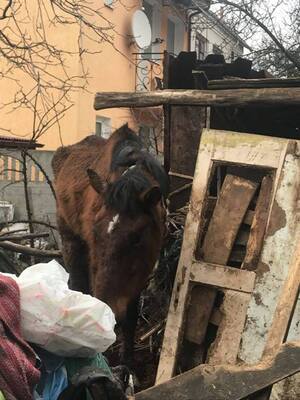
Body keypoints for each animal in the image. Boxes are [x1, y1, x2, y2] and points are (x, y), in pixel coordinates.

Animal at [52, 125, 168, 368]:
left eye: (137, 238)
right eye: (95, 231)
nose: (110, 308)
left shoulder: (142, 272)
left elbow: (131, 317)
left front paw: (127, 365)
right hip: (70, 240)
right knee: (78, 283)